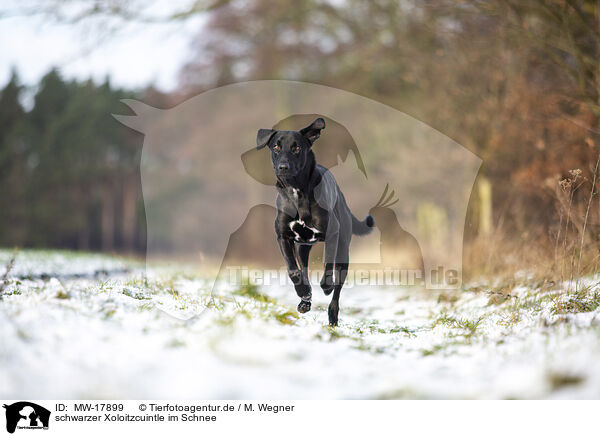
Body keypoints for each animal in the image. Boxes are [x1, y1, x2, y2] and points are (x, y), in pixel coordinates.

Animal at [255, 117, 372, 326]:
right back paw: (305, 300)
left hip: (344, 249)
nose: (283, 167)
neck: (297, 191)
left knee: (338, 287)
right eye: (276, 146)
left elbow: (327, 266)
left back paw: (332, 314)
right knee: (304, 269)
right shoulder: (283, 236)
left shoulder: (333, 234)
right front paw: (303, 292)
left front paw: (325, 286)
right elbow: (294, 271)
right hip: (302, 247)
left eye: (296, 148)